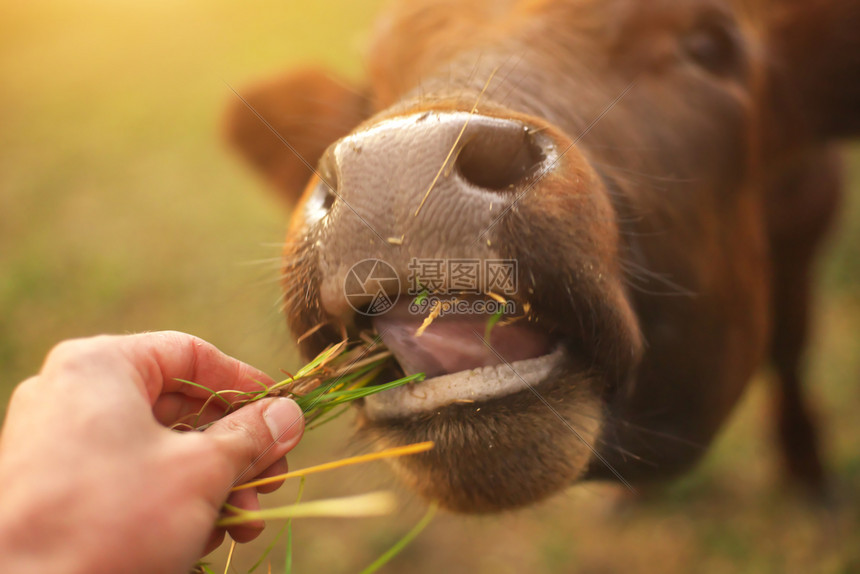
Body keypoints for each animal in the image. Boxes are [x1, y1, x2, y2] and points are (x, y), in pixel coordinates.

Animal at [223, 0, 860, 512]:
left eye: (710, 43)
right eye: (371, 86)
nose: (401, 168)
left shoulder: (810, 220)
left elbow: (791, 343)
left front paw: (808, 471)